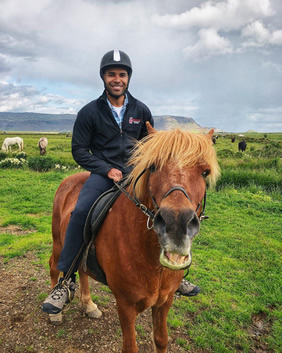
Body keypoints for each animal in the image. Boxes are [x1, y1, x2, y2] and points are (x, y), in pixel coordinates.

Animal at [48, 123, 220, 352]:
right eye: (153, 167)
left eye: (204, 172)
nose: (176, 224)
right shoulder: (126, 304)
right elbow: (130, 346)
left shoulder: (165, 302)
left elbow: (161, 340)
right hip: (59, 242)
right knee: (54, 265)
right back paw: (55, 306)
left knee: (83, 271)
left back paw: (88, 304)